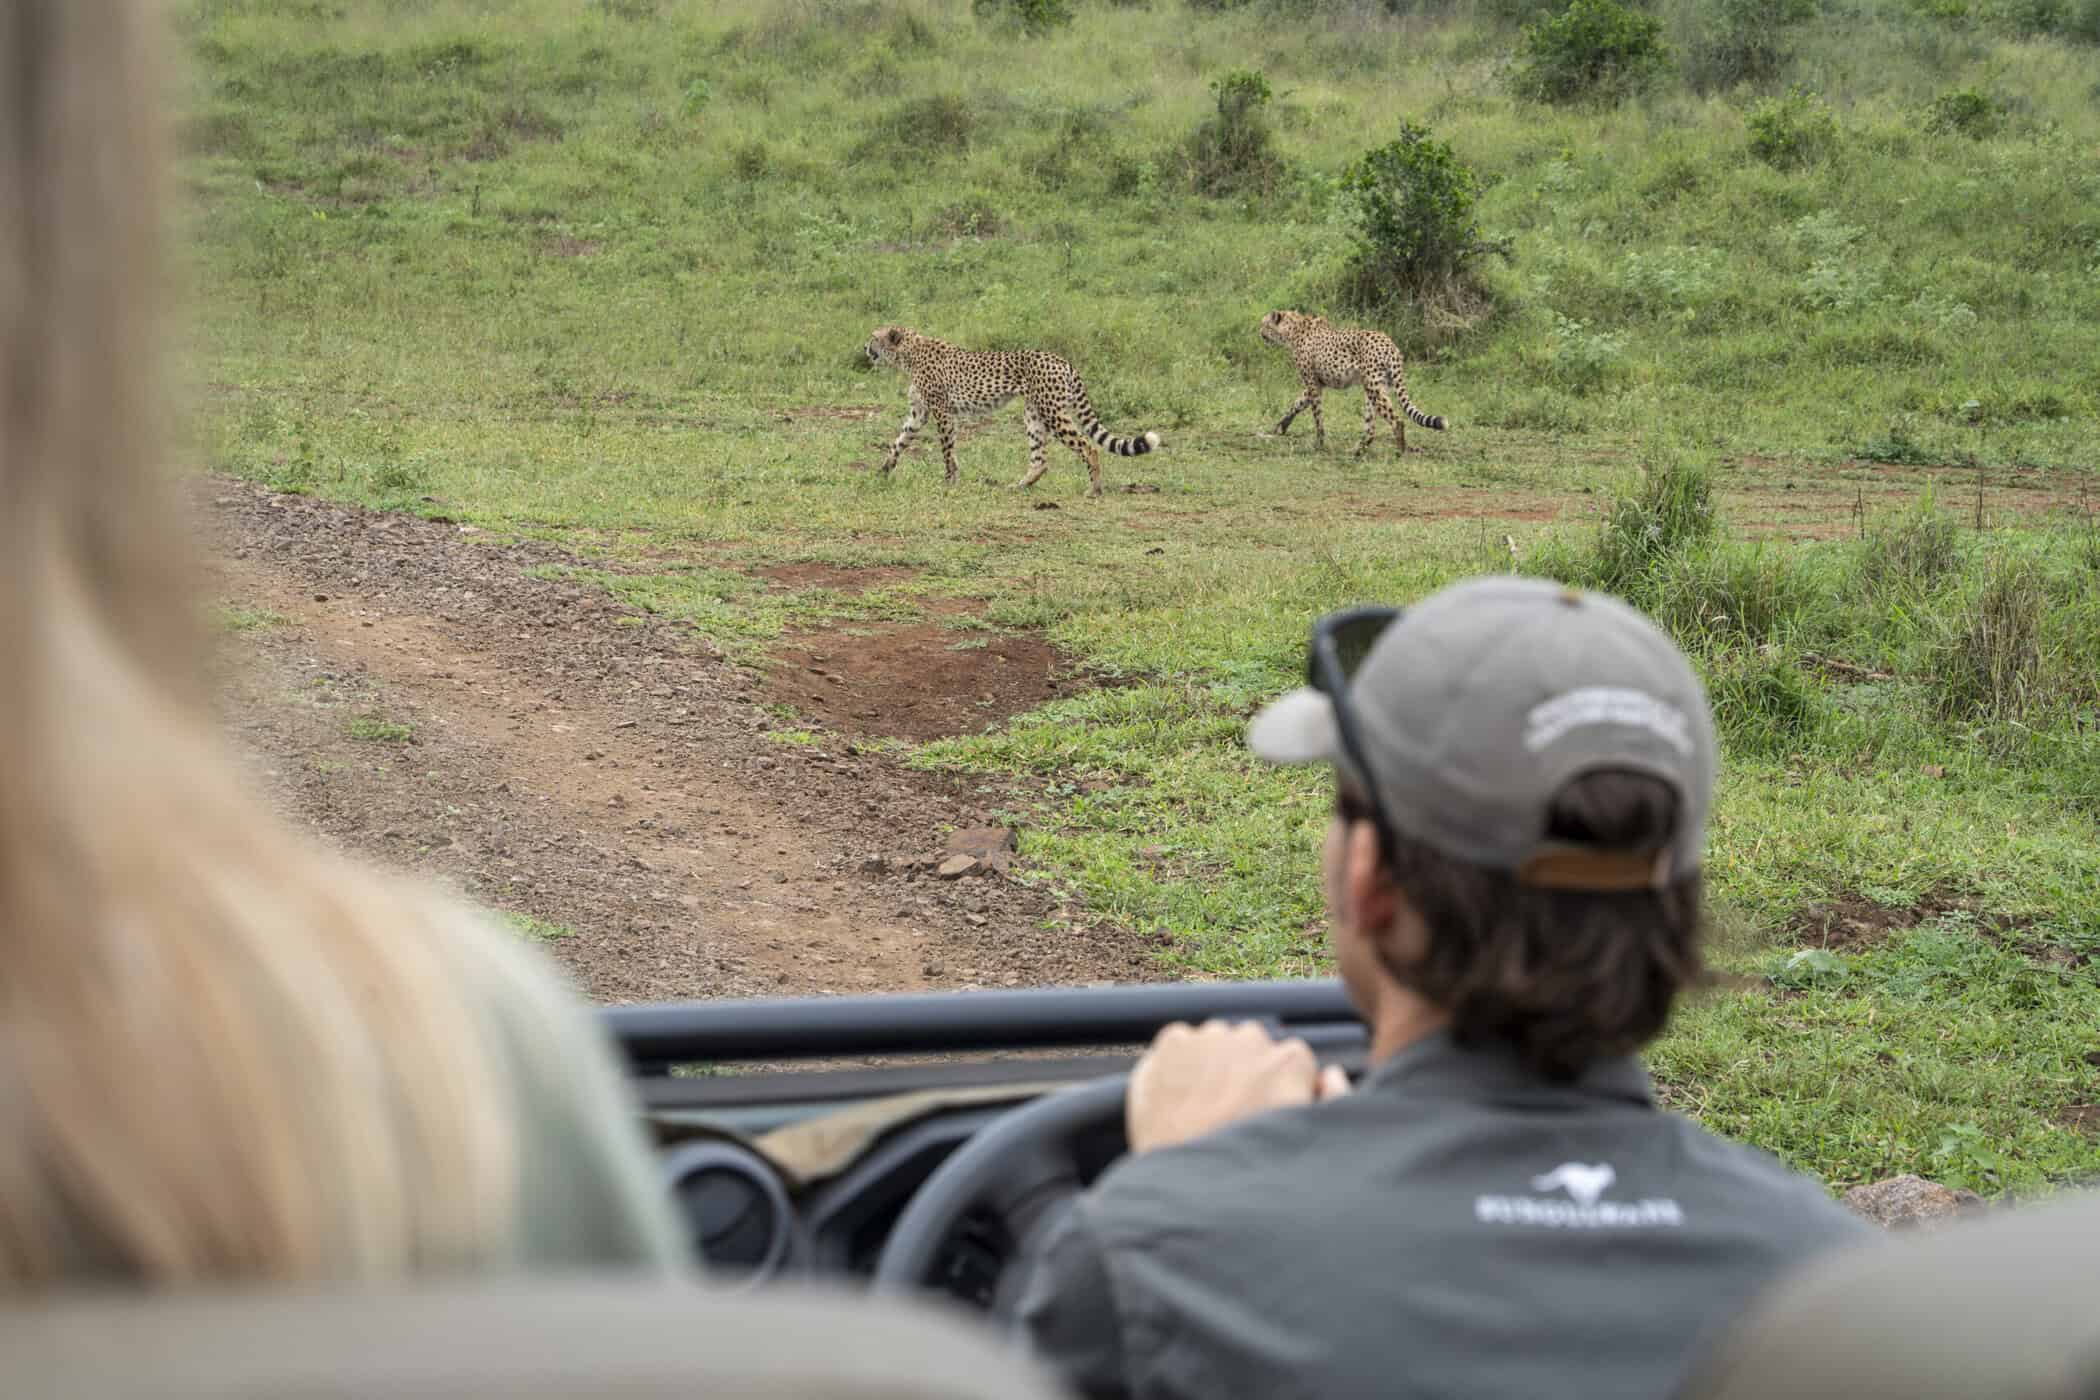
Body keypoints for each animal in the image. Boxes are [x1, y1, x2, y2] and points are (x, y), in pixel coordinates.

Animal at [865, 325, 1167, 501]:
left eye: (873, 338)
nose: (865, 348)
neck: (908, 353)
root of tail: (1063, 360)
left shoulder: (942, 412)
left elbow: (947, 450)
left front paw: (950, 481)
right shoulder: (920, 414)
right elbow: (899, 442)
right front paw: (883, 470)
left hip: (1052, 412)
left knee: (1087, 446)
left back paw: (1094, 490)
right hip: (1033, 413)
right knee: (1040, 459)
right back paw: (1021, 485)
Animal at [1260, 308, 1444, 457]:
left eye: (1264, 324)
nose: (1259, 331)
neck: (1293, 329)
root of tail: (1389, 343)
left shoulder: (1313, 384)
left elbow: (1317, 416)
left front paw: (1319, 444)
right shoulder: (1317, 384)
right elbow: (1297, 404)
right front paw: (1281, 426)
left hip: (1374, 388)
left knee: (1397, 421)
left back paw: (1400, 451)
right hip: (1375, 389)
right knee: (1371, 428)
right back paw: (1358, 451)